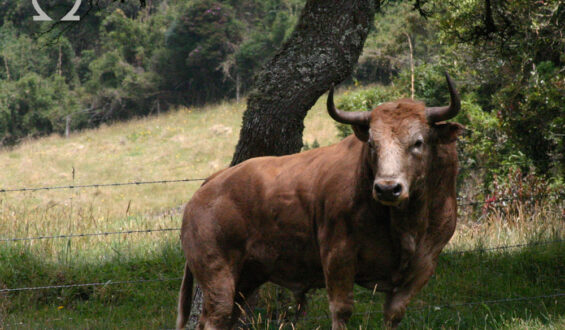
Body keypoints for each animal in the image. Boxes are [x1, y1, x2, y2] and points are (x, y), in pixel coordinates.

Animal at [176, 73, 462, 328]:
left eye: (418, 142)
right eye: (372, 143)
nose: (387, 188)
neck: (405, 222)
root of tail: (210, 184)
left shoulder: (423, 265)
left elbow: (394, 313)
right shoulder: (338, 256)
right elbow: (342, 310)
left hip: (246, 279)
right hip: (218, 277)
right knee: (215, 318)